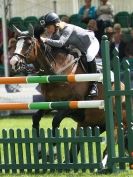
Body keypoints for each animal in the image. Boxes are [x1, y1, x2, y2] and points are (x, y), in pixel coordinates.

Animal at [10, 24, 127, 166]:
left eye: (28, 44)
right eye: (16, 43)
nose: (13, 63)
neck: (58, 70)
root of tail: (122, 87)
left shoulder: (72, 104)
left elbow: (55, 121)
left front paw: (52, 150)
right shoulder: (50, 102)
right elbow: (36, 118)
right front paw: (39, 150)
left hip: (114, 121)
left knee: (114, 137)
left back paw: (103, 163)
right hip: (90, 124)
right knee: (78, 145)